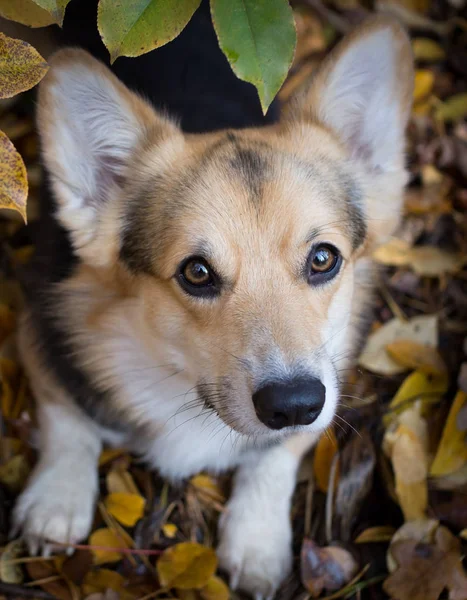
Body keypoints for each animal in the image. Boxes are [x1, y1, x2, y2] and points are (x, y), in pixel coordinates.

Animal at [10, 1, 414, 596]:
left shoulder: (328, 384)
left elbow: (277, 456)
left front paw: (257, 541)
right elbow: (67, 422)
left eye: (323, 259)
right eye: (197, 273)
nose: (294, 403)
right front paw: (58, 500)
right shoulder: (39, 335)